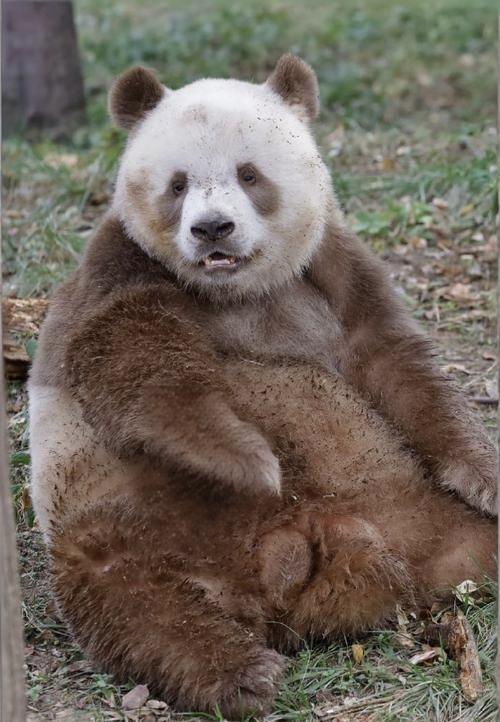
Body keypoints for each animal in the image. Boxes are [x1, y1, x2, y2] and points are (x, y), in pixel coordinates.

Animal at [28, 55, 496, 718]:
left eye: (248, 175)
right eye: (178, 184)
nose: (212, 229)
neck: (237, 291)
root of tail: (279, 588)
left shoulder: (332, 269)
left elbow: (397, 366)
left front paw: (485, 477)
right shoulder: (121, 270)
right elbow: (134, 358)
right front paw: (248, 461)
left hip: (415, 512)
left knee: (469, 542)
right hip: (112, 524)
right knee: (133, 604)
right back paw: (241, 676)